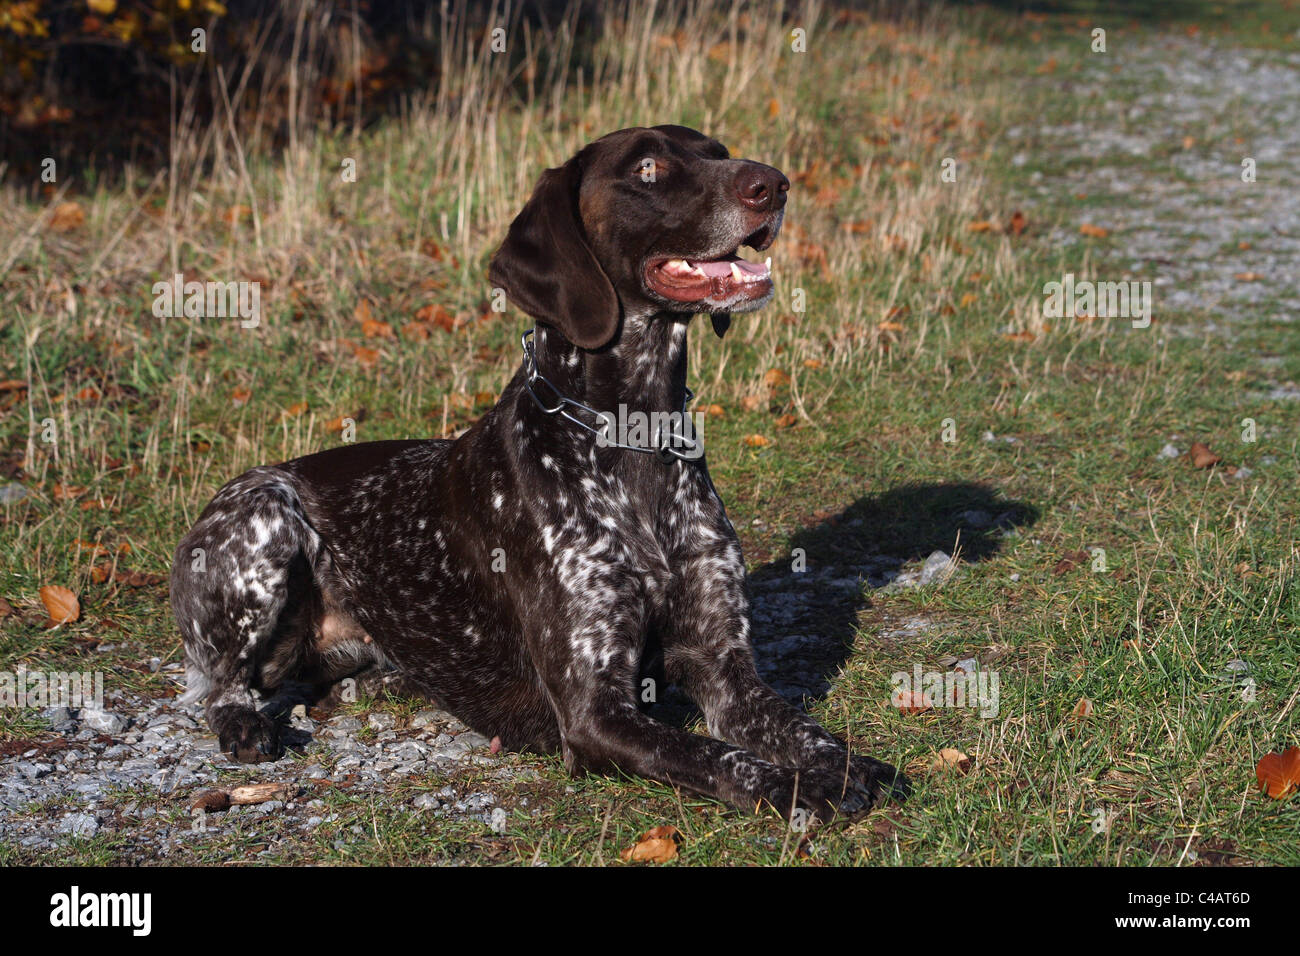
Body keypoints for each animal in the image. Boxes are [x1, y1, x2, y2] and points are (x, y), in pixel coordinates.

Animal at [170, 121, 904, 822]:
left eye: (718, 152)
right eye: (648, 169)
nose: (773, 184)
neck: (633, 433)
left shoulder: (724, 669)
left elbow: (797, 728)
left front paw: (845, 765)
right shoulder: (594, 714)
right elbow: (718, 756)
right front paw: (795, 786)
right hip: (263, 516)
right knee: (219, 683)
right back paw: (244, 725)